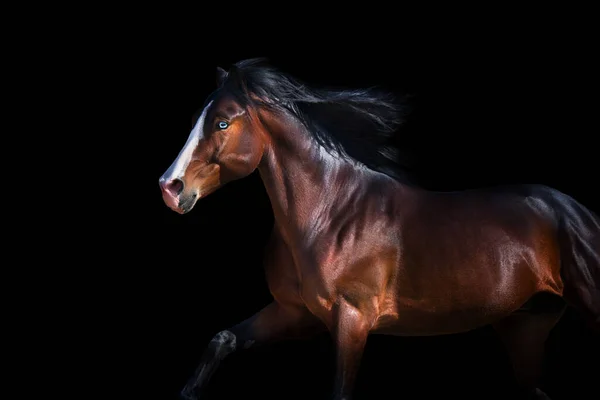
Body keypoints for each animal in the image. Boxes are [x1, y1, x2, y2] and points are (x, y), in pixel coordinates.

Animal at [159, 57, 600, 398]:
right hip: (526, 327)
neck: (327, 214)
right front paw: (189, 392)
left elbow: (340, 390)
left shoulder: (352, 321)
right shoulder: (293, 313)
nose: (169, 187)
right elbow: (223, 339)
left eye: (221, 123)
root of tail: (580, 213)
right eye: (198, 118)